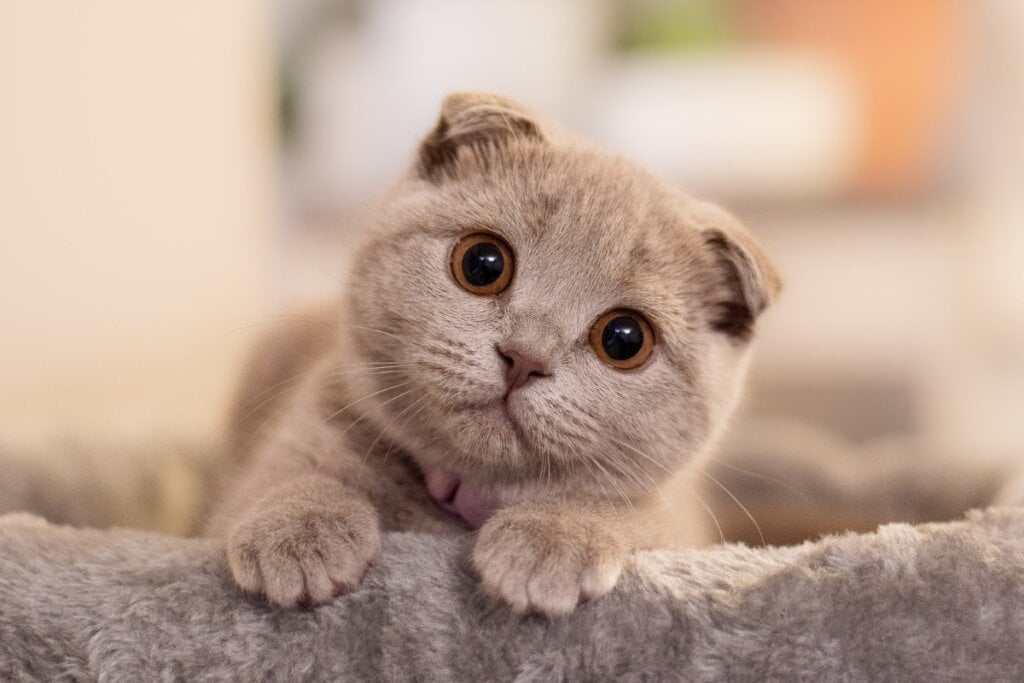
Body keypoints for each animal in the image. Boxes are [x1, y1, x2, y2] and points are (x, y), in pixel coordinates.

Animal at [209, 88, 782, 618]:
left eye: (624, 339)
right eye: (483, 263)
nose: (524, 357)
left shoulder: (677, 519)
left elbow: (626, 508)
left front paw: (552, 538)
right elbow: (282, 474)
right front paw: (298, 527)